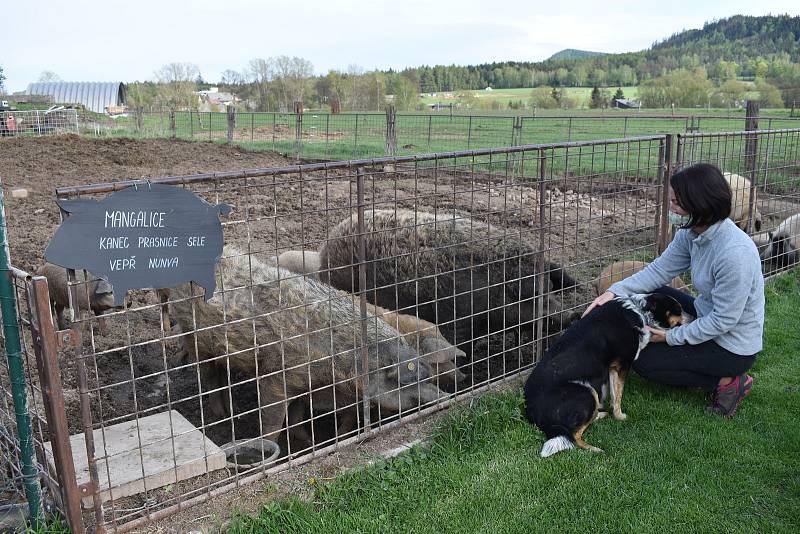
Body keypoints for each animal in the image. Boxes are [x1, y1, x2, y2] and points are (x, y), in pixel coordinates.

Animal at [524, 296, 680, 458]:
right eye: (679, 310)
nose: (689, 317)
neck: (639, 309)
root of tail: (531, 410)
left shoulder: (612, 367)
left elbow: (614, 393)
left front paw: (613, 410)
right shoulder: (623, 364)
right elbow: (619, 395)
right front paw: (620, 417)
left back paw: (599, 414)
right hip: (587, 392)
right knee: (574, 436)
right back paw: (596, 449)